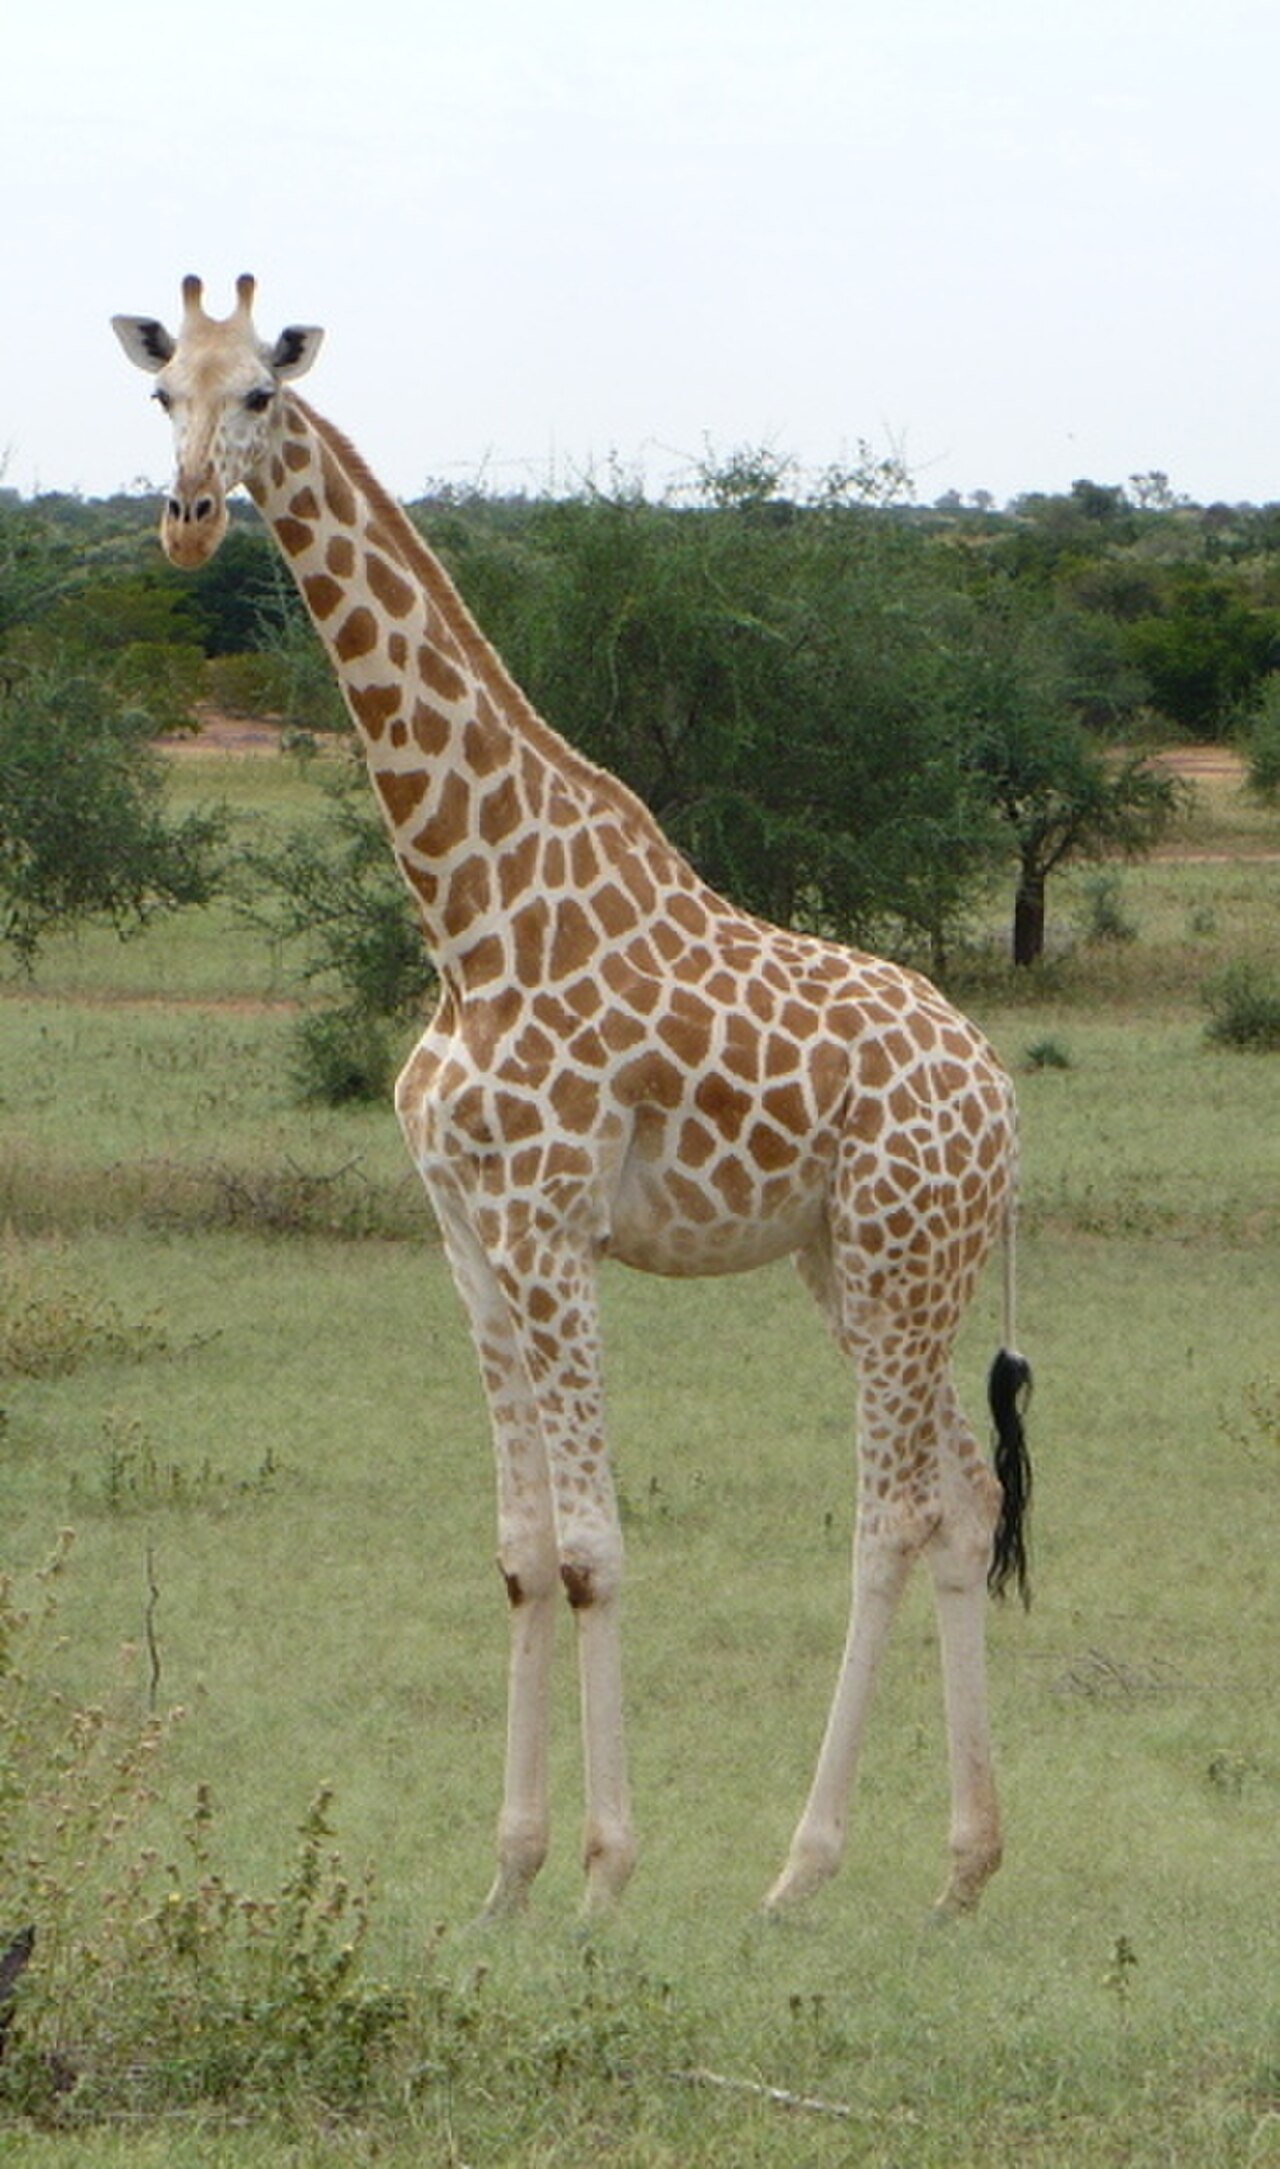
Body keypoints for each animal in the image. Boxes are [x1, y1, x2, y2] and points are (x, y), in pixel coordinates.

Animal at [113, 276, 1032, 1922]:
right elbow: (523, 1550)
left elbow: (598, 1549)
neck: (466, 915)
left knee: (889, 1515)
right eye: (165, 397)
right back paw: (958, 1870)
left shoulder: (551, 1227)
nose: (191, 519)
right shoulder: (467, 1237)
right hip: (859, 1268)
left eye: (263, 395)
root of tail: (998, 1096)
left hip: (896, 1253)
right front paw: (507, 1880)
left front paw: (606, 1878)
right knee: (966, 1498)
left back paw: (799, 1873)